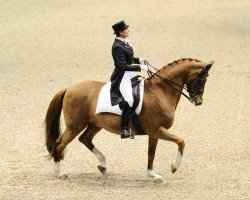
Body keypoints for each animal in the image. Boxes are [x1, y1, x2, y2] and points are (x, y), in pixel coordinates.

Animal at [44, 57, 213, 183]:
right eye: (202, 79)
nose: (199, 102)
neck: (160, 91)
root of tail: (69, 88)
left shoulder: (154, 133)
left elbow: (151, 153)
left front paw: (152, 175)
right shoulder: (157, 130)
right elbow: (181, 141)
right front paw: (174, 167)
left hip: (95, 124)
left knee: (85, 139)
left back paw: (103, 165)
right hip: (75, 125)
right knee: (59, 144)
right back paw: (60, 173)